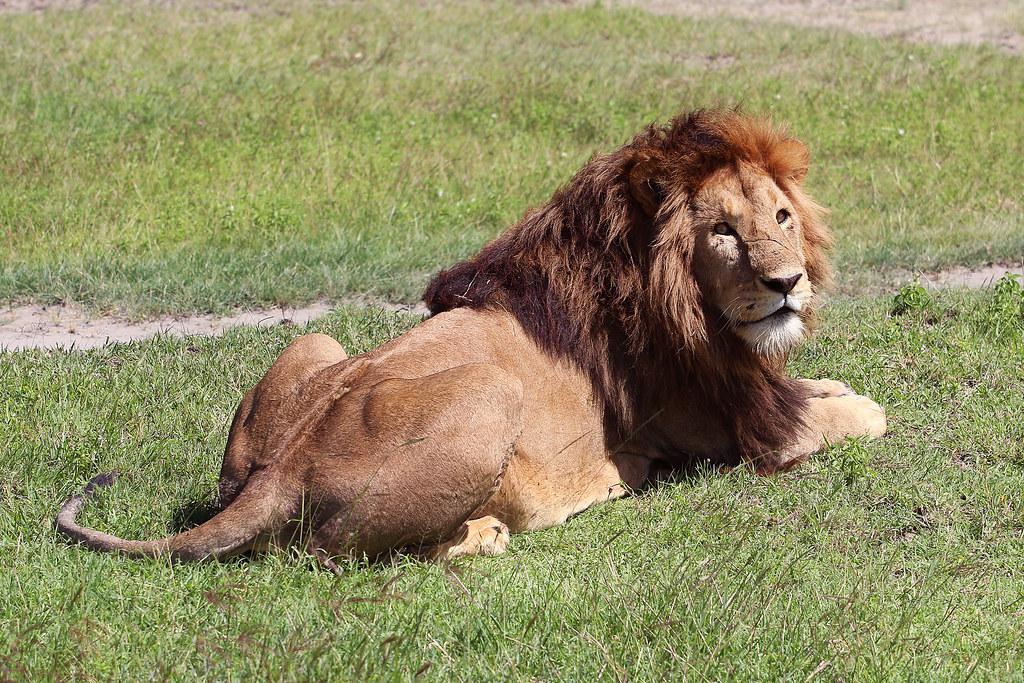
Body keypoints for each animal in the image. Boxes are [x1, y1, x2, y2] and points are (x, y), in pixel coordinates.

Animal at [58, 109, 888, 565]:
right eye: (723, 232)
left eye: (781, 217)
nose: (787, 283)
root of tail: (280, 470)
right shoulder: (734, 431)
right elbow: (848, 416)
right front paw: (859, 404)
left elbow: (815, 388)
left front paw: (834, 382)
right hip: (491, 393)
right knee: (324, 552)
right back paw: (482, 534)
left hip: (316, 347)